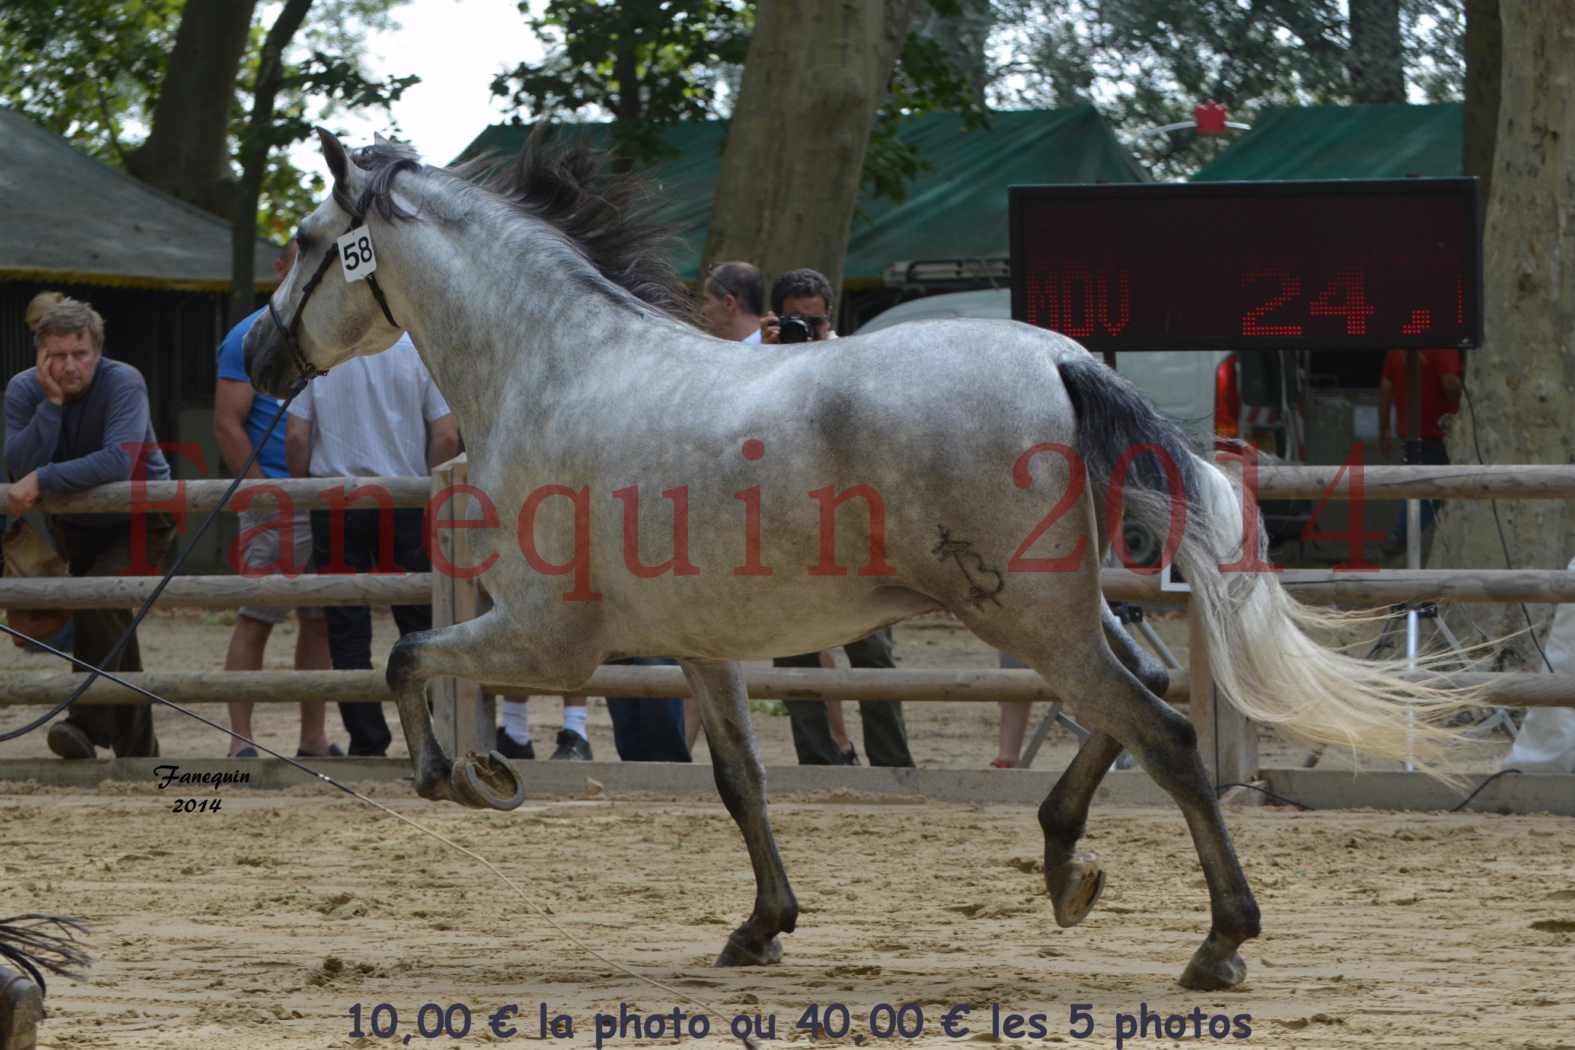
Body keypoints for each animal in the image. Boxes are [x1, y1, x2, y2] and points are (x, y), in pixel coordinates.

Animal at [245, 131, 1474, 994]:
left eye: (303, 242)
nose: (258, 356)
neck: (554, 367)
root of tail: (1065, 355)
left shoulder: (553, 639)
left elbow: (406, 658)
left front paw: (462, 778)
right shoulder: (700, 650)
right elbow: (739, 782)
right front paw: (760, 928)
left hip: (1028, 617)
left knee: (1163, 729)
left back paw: (1217, 943)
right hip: (1059, 612)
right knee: (1144, 698)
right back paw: (1066, 863)